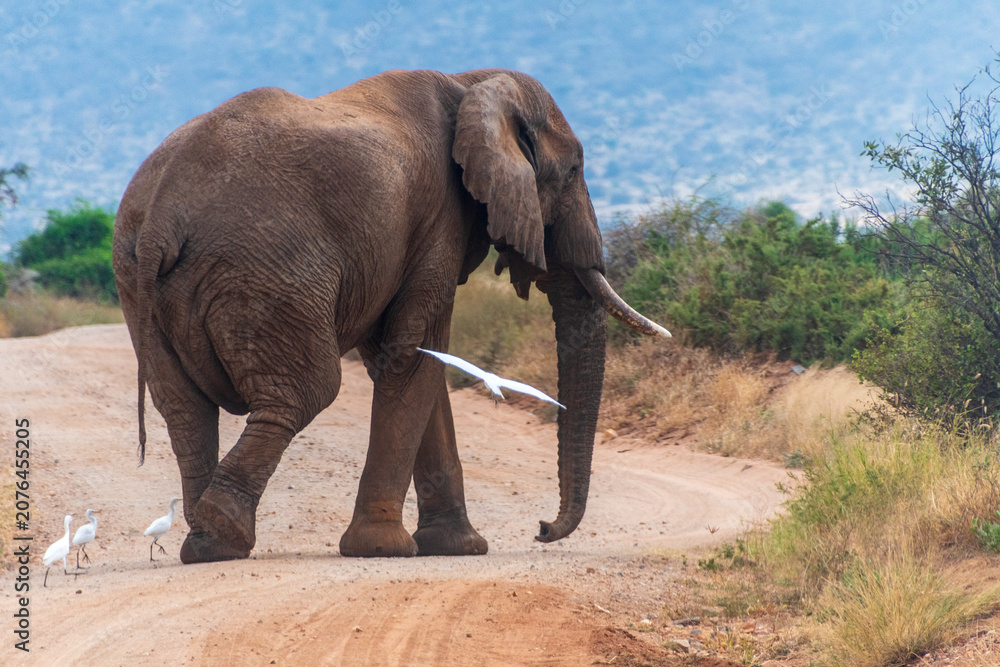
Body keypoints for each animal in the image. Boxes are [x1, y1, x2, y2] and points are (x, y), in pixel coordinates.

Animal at [112, 68, 670, 564]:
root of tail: (162, 217)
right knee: (303, 392)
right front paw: (385, 549)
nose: (542, 529)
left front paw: (458, 548)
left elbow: (417, 362)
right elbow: (413, 353)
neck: (473, 83)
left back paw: (202, 544)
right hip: (264, 274)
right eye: (573, 171)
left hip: (138, 283)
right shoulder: (442, 217)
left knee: (184, 409)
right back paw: (223, 534)